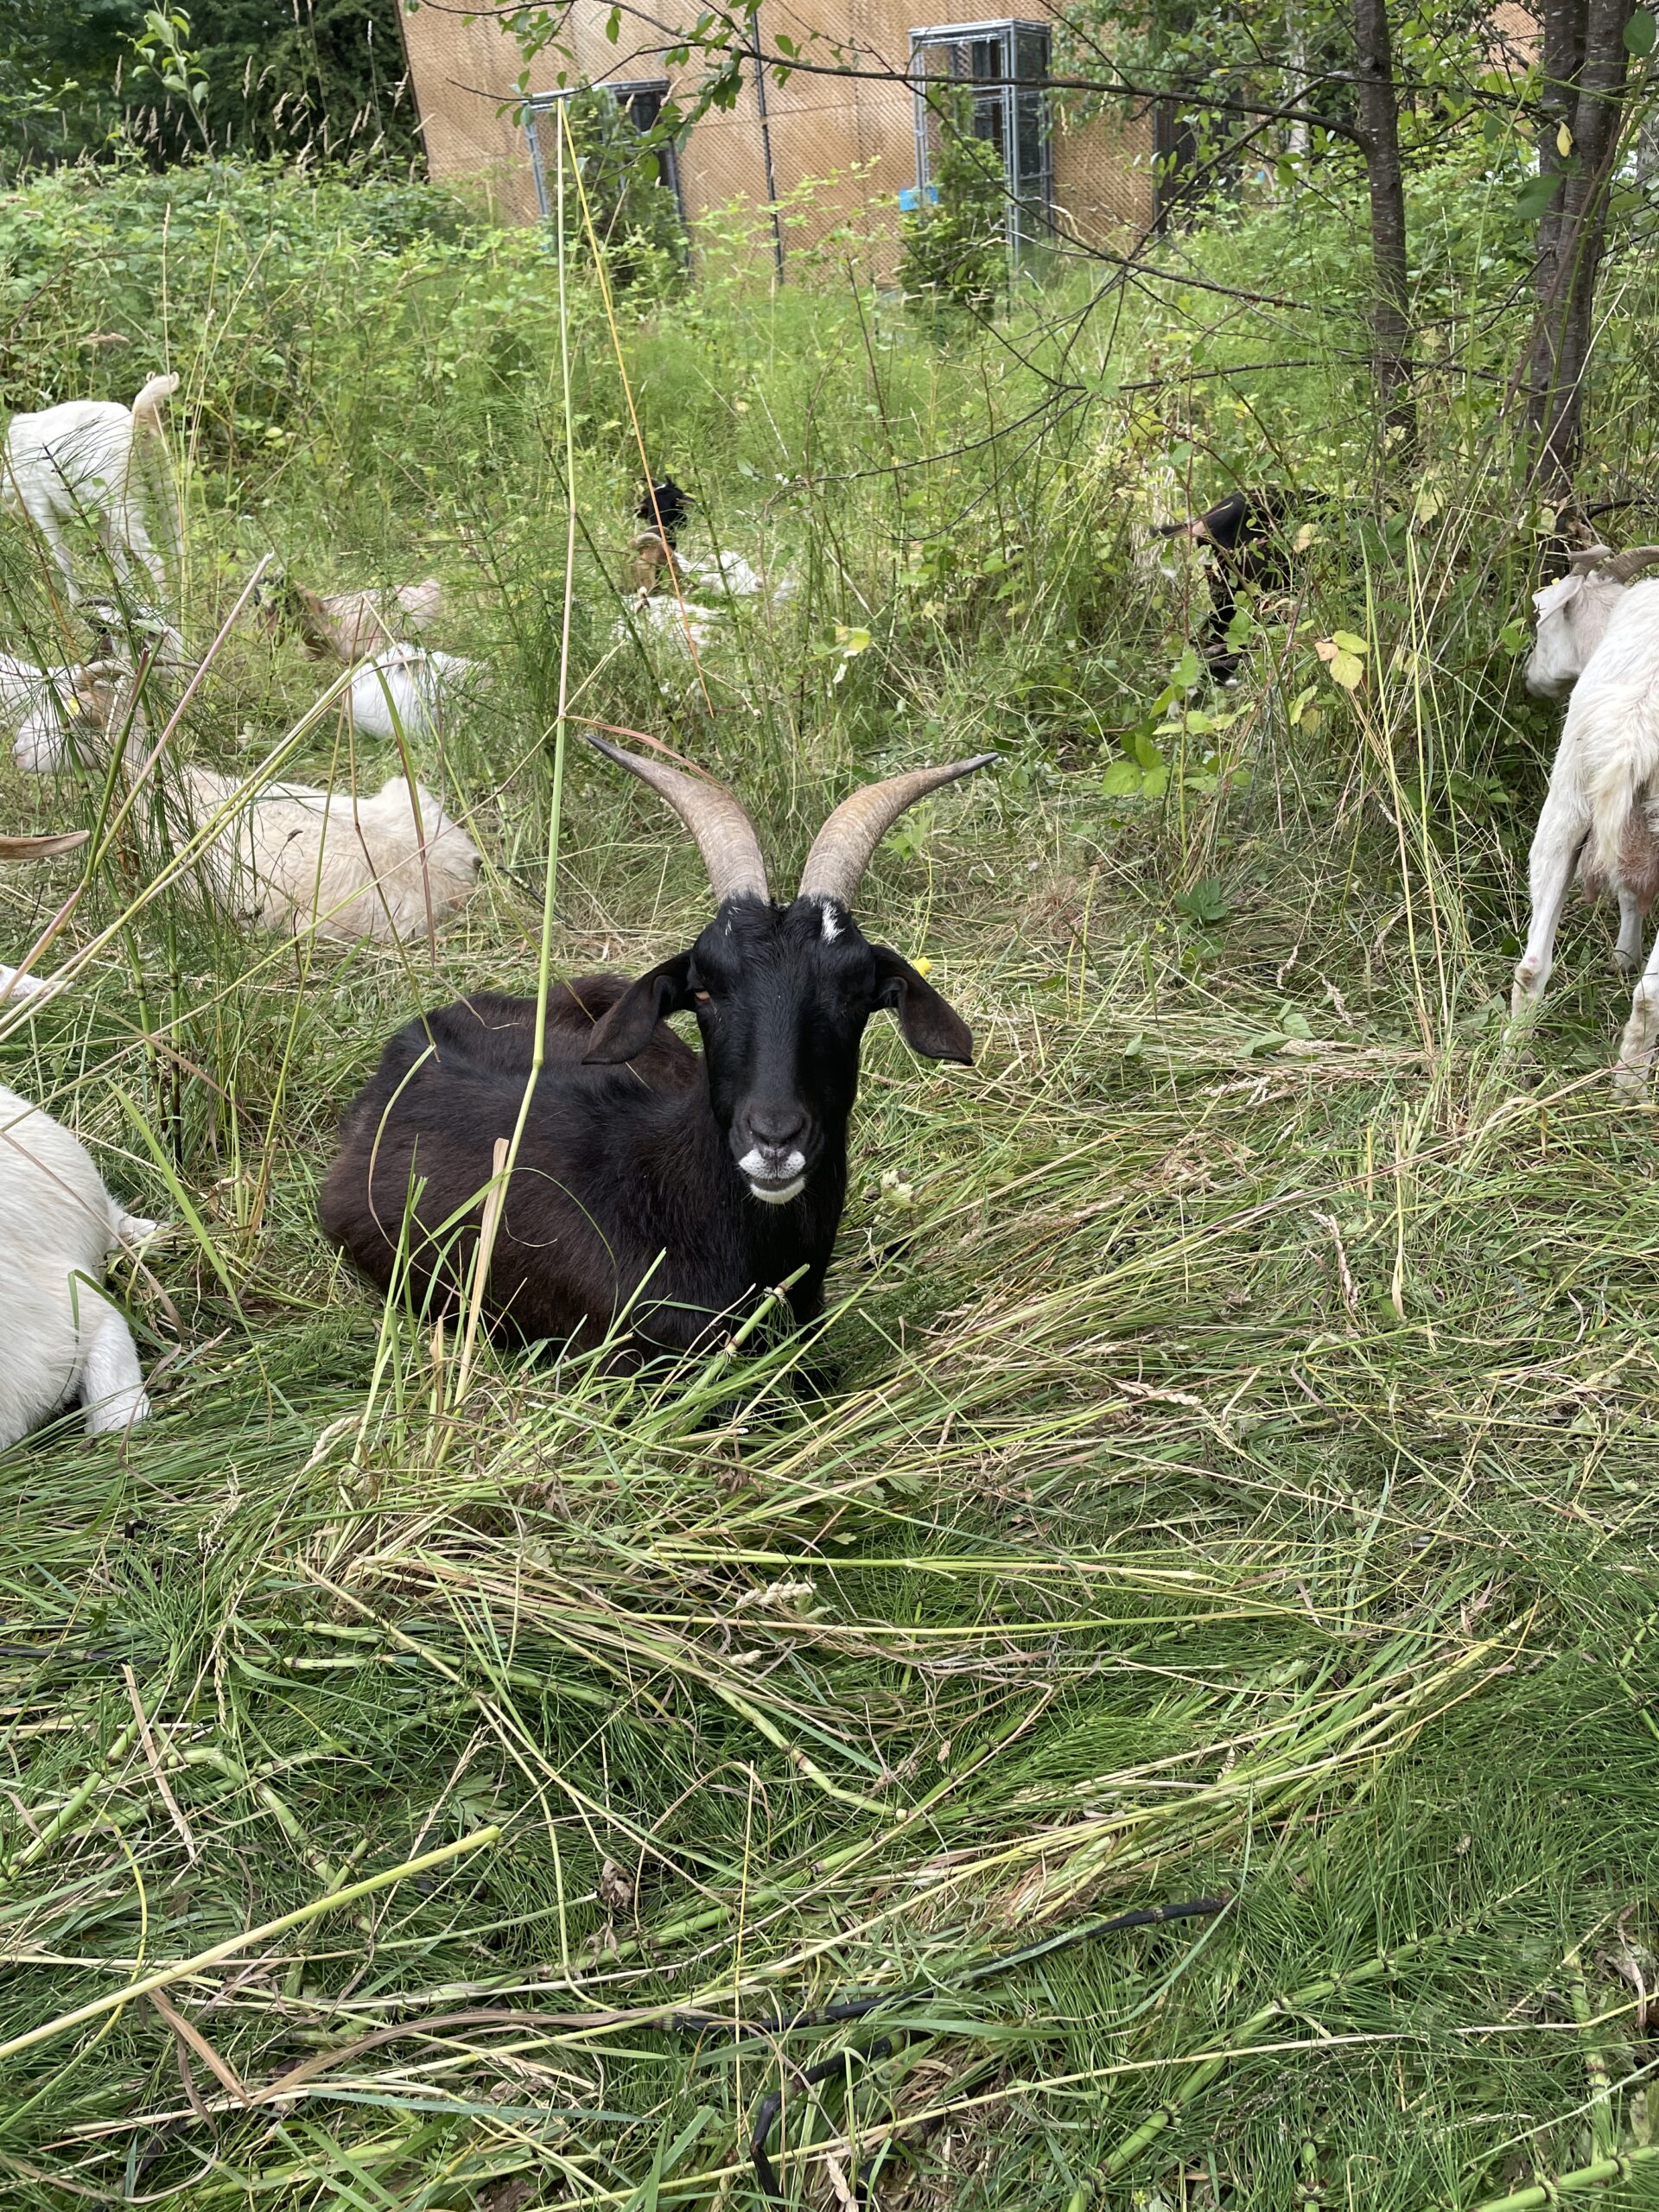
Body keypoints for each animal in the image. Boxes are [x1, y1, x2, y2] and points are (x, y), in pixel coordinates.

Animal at [2, 373, 178, 601]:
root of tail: (133, 426)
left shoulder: (38, 503)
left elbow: (62, 557)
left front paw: (76, 602)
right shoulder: (101, 517)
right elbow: (117, 564)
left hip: (125, 505)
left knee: (158, 567)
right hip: (165, 488)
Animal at [1512, 543, 1659, 1084]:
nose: (1529, 676)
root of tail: (1637, 721)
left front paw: (1621, 956)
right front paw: (1626, 956)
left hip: (1567, 797)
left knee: (1531, 964)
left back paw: (1513, 1058)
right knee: (1650, 996)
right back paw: (1629, 1088)